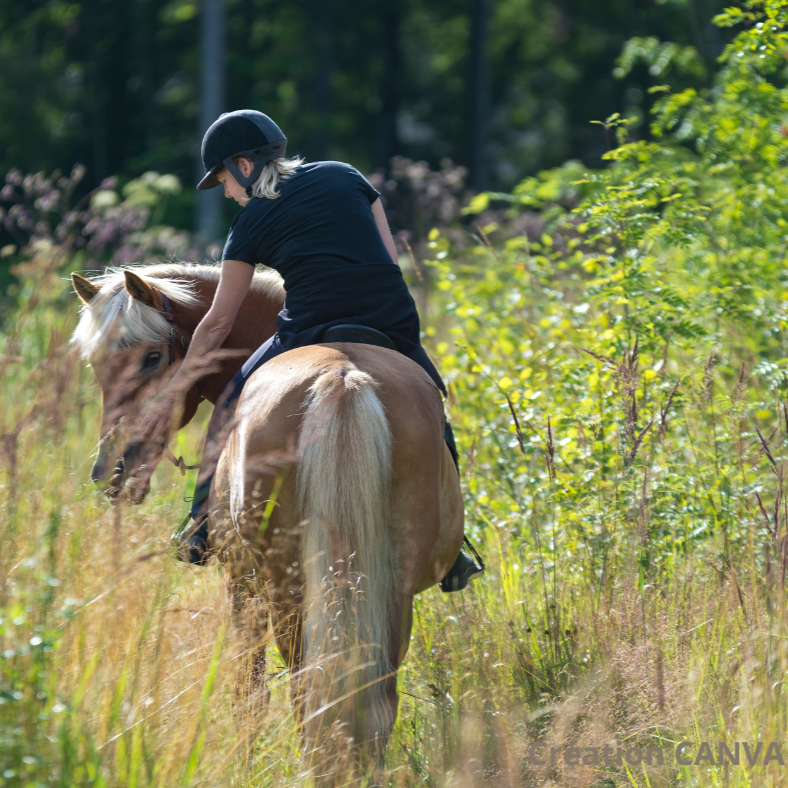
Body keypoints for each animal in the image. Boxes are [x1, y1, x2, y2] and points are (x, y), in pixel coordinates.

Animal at [70, 263, 464, 778]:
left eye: (152, 357)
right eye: (96, 364)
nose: (111, 470)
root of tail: (341, 378)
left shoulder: (240, 584)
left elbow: (248, 693)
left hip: (287, 590)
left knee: (305, 691)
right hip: (387, 588)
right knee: (372, 697)